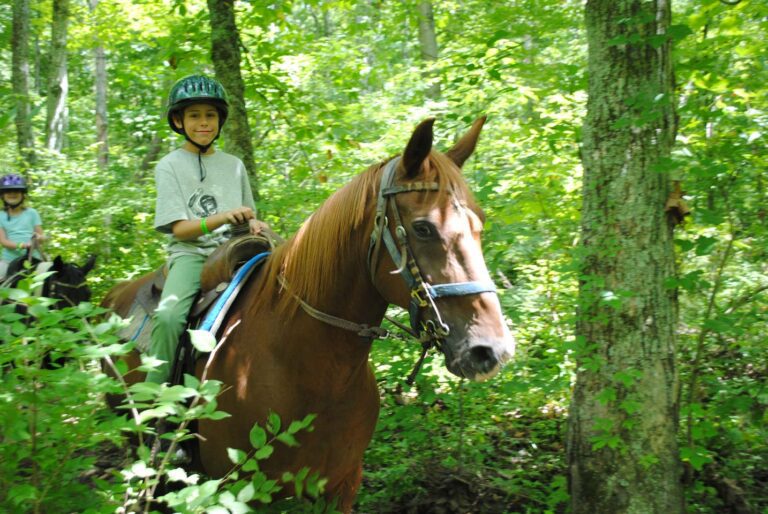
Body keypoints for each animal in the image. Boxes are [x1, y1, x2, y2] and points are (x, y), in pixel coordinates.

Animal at [102, 116, 515, 512]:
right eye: (423, 228)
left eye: (479, 223)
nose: (491, 350)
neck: (308, 369)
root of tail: (111, 296)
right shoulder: (240, 491)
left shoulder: (341, 487)